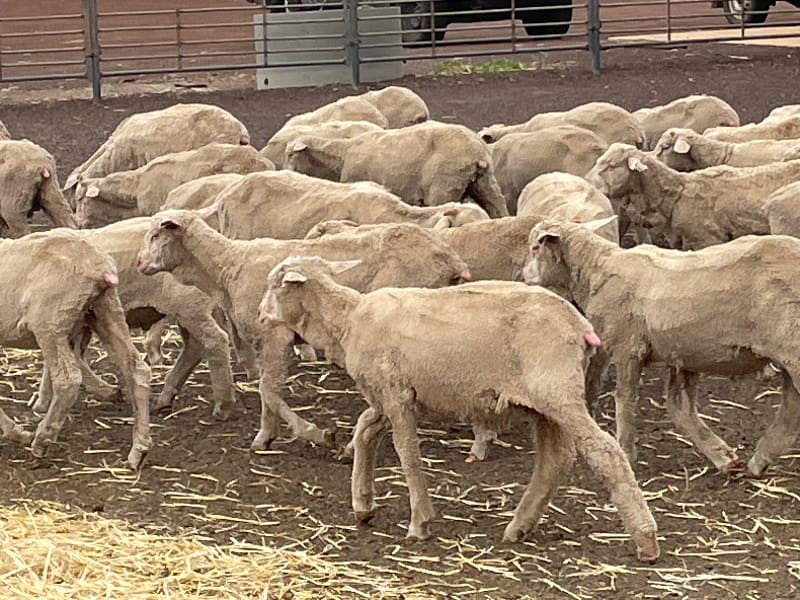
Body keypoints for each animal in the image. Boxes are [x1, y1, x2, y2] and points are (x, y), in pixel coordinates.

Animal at [0, 229, 151, 469]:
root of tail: (98, 265)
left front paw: (17, 434)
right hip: (105, 310)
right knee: (137, 370)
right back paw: (139, 449)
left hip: (50, 321)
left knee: (68, 380)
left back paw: (42, 441)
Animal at [136, 210, 472, 451]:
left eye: (155, 235)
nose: (139, 263)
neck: (228, 267)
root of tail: (451, 260)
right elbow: (268, 389)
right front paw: (270, 435)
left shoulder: (273, 334)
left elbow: (269, 390)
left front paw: (304, 434)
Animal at [257, 256, 660, 563]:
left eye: (276, 284)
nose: (260, 315)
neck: (348, 320)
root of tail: (580, 325)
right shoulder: (383, 396)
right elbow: (364, 428)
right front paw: (363, 503)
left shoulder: (396, 394)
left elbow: (406, 452)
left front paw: (419, 522)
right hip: (543, 403)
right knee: (554, 458)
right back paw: (519, 527)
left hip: (556, 392)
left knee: (604, 451)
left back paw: (645, 539)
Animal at [285, 121, 510, 218]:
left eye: (290, 155)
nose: (286, 173)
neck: (343, 153)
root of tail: (476, 152)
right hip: (484, 181)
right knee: (497, 204)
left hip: (443, 185)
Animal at [524, 218, 800, 479]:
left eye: (535, 247)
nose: (524, 277)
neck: (597, 269)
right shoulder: (682, 354)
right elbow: (680, 408)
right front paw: (724, 457)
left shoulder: (627, 348)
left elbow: (625, 399)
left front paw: (626, 451)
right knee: (791, 407)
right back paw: (758, 462)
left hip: (791, 347)